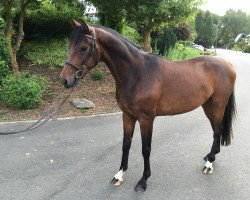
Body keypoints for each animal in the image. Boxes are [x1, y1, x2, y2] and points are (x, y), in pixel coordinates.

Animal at [60, 19, 236, 192]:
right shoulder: (128, 116)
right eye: (69, 46)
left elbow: (146, 149)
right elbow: (126, 144)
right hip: (208, 106)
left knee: (217, 131)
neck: (137, 73)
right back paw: (210, 156)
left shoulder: (146, 119)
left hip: (218, 105)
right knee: (216, 130)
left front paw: (143, 181)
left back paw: (209, 164)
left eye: (83, 48)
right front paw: (119, 174)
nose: (65, 80)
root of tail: (228, 65)